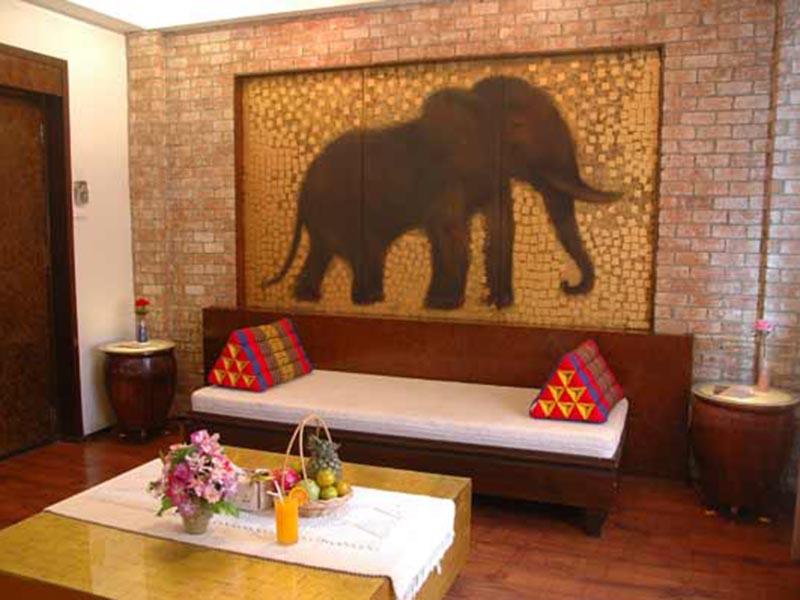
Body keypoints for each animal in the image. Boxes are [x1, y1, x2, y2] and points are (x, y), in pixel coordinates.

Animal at [261, 75, 620, 309]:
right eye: (518, 127)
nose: (565, 284)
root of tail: (303, 188)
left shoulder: (492, 174)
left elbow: (502, 228)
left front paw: (498, 304)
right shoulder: (446, 174)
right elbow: (449, 231)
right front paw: (443, 305)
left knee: (328, 251)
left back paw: (310, 298)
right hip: (339, 207)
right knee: (361, 249)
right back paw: (367, 301)